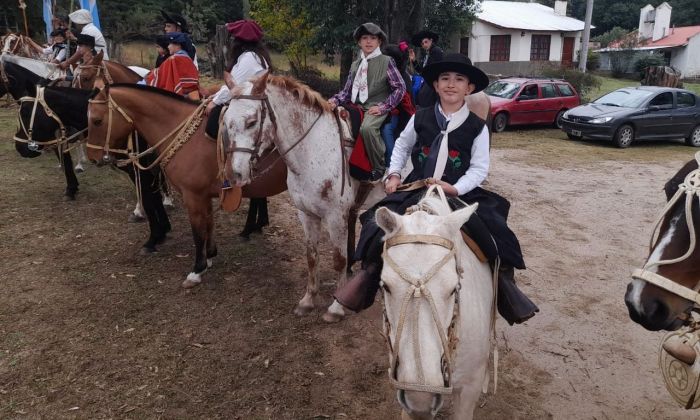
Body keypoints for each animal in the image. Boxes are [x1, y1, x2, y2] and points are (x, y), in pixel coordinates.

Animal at [85, 83, 288, 288]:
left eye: (97, 121)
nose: (92, 158)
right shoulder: (204, 196)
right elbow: (208, 224)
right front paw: (209, 257)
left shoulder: (192, 196)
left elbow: (197, 232)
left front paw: (197, 270)